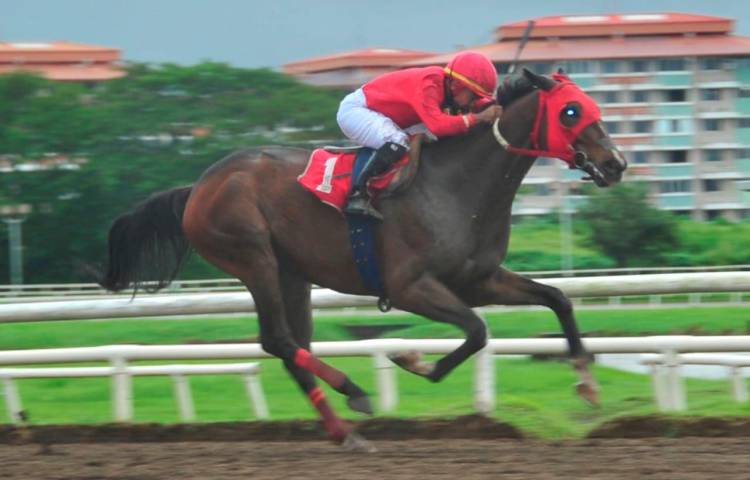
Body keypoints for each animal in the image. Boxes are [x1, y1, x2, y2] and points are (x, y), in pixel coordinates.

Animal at [98, 67, 628, 450]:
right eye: (571, 111)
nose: (616, 163)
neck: (457, 186)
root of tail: (197, 188)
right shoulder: (409, 286)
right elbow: (477, 331)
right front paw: (413, 360)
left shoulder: (479, 279)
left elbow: (557, 299)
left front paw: (588, 384)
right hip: (253, 257)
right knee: (277, 340)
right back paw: (353, 391)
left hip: (293, 273)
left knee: (291, 347)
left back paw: (345, 432)